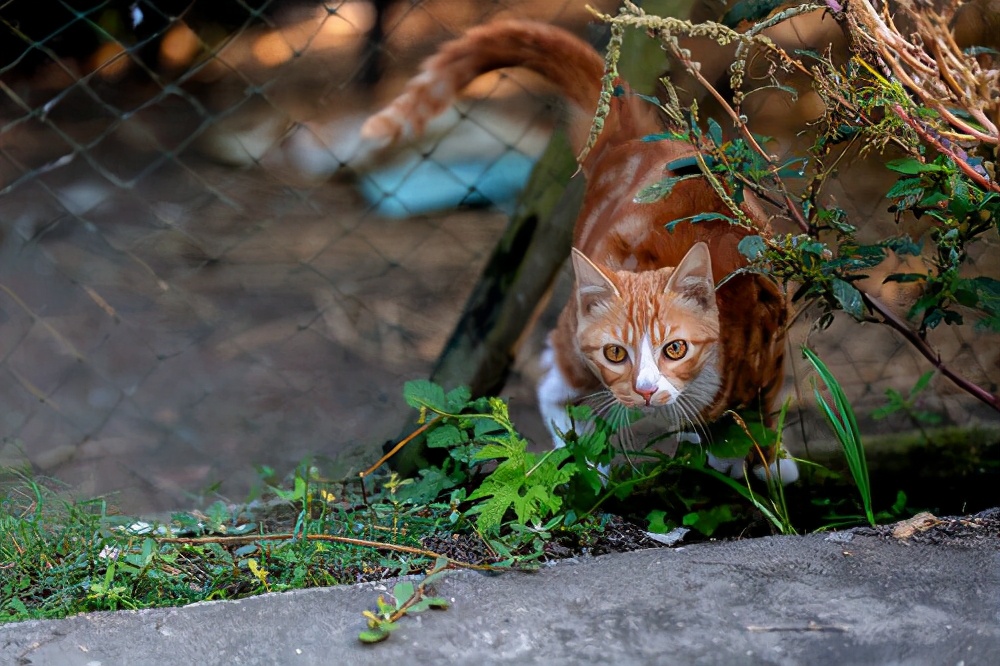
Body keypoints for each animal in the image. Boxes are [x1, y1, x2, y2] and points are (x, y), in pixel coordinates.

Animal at [364, 18, 800, 480]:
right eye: (616, 353)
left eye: (675, 349)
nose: (646, 389)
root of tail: (631, 143)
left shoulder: (769, 348)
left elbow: (760, 416)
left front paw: (763, 462)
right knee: (553, 383)